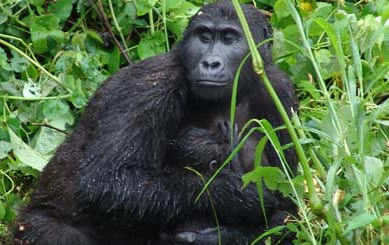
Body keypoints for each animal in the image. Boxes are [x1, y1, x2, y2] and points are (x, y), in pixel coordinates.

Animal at [13, 0, 296, 244]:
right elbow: (106, 182)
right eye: (204, 37)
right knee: (56, 234)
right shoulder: (153, 82)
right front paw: (235, 195)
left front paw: (223, 234)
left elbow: (289, 211)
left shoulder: (279, 91)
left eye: (229, 39)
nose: (210, 62)